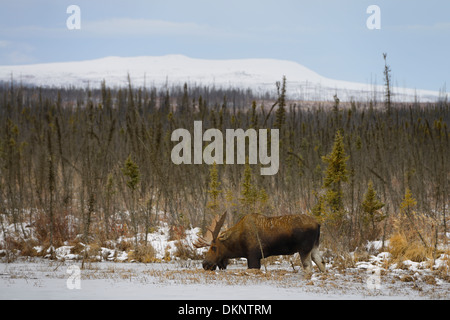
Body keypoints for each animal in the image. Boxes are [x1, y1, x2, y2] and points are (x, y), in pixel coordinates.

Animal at [195, 211, 326, 274]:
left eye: (214, 247)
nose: (205, 264)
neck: (238, 244)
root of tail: (318, 224)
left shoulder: (253, 257)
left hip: (304, 249)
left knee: (308, 267)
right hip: (314, 246)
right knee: (321, 262)